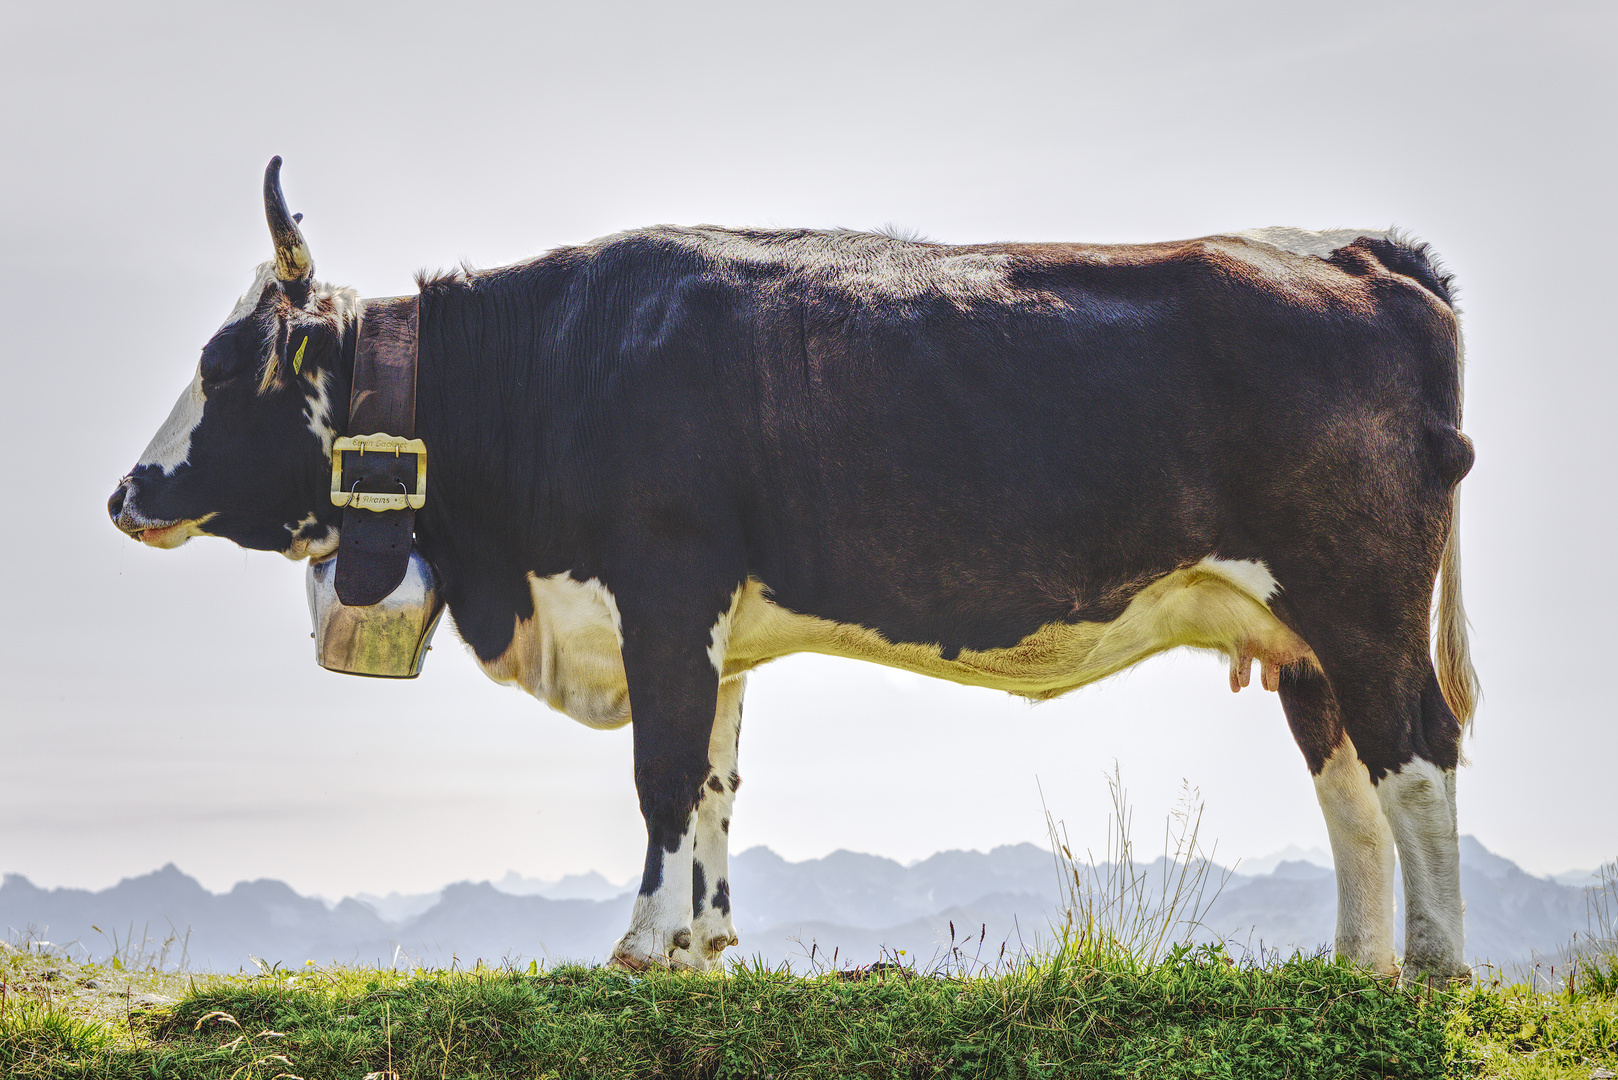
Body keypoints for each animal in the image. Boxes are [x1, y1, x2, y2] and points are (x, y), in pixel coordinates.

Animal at [110, 162, 1482, 990]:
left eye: (224, 364)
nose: (127, 495)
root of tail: (1342, 250)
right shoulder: (714, 621)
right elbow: (716, 774)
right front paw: (704, 944)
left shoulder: (665, 586)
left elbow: (661, 768)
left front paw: (641, 945)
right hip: (1299, 634)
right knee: (1346, 781)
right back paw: (1355, 969)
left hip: (1359, 597)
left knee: (1416, 753)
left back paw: (1435, 972)